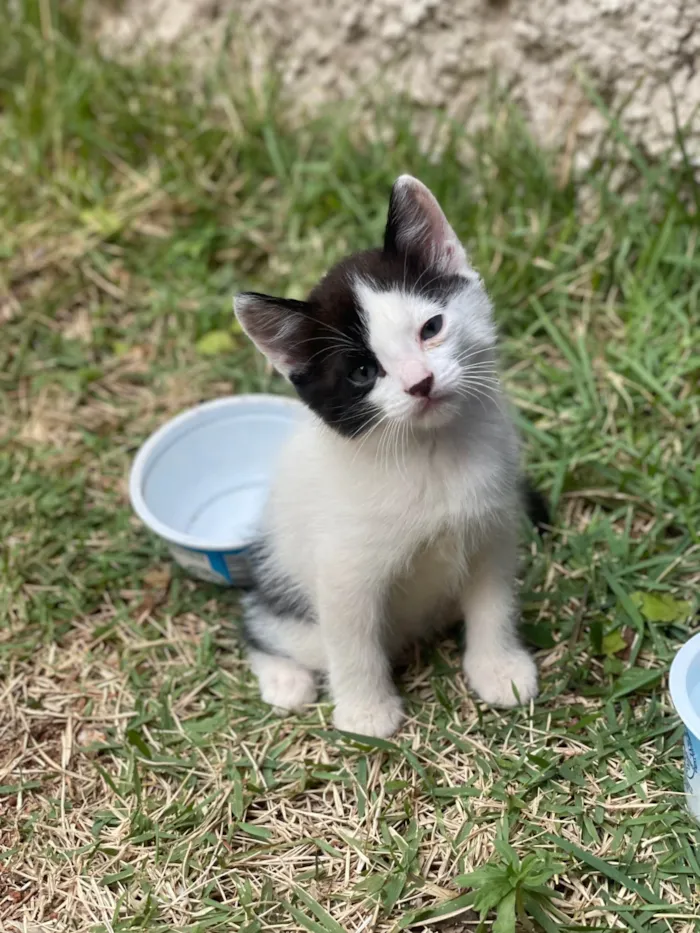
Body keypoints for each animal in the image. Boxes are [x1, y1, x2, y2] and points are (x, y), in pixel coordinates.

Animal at [235, 171, 540, 732]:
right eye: (361, 372)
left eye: (431, 328)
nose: (420, 383)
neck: (431, 454)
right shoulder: (343, 569)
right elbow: (352, 643)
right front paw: (366, 714)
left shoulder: (492, 529)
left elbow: (494, 602)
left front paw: (498, 668)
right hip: (285, 594)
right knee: (261, 625)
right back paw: (284, 680)